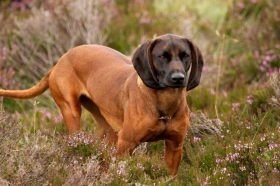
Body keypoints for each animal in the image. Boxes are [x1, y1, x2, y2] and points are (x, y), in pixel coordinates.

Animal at [0, 34, 202, 176]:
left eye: (185, 56)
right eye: (162, 56)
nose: (178, 78)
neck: (163, 104)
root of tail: (60, 61)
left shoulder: (175, 146)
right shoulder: (126, 144)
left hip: (108, 129)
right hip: (72, 114)